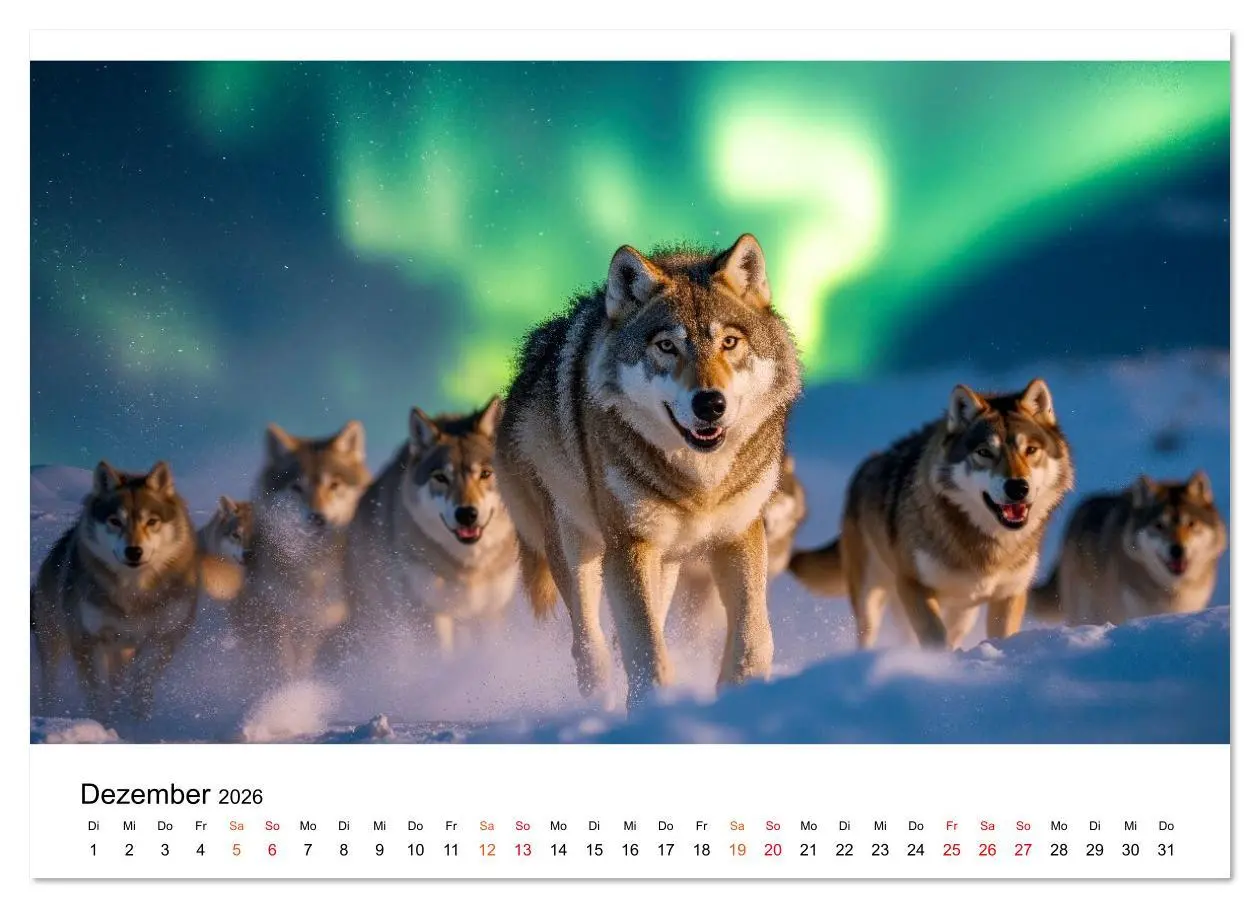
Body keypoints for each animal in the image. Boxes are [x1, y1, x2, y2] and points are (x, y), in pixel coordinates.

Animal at [30, 461, 238, 721]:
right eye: (115, 521)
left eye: (152, 521)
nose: (134, 551)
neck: (134, 592)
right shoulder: (87, 639)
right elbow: (98, 695)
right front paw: (105, 723)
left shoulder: (164, 637)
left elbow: (142, 683)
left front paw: (136, 722)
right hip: (54, 642)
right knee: (50, 684)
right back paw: (48, 713)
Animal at [232, 421, 371, 682]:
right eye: (297, 487)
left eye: (334, 485)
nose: (317, 518)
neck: (311, 569)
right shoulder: (276, 613)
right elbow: (283, 660)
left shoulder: (321, 620)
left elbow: (304, 661)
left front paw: (301, 687)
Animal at [339, 398, 518, 657]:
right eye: (441, 477)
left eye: (485, 474)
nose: (466, 514)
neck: (467, 567)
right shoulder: (429, 613)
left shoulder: (490, 613)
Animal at [496, 233, 802, 707]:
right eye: (667, 346)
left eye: (729, 342)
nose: (710, 403)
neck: (700, 481)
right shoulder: (629, 545)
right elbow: (646, 648)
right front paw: (653, 708)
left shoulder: (741, 534)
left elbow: (755, 636)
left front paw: (740, 695)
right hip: (578, 548)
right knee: (591, 642)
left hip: (666, 562)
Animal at [789, 379, 1073, 649]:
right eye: (984, 452)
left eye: (1031, 450)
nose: (1017, 487)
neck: (987, 546)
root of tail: (866, 465)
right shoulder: (913, 585)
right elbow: (935, 638)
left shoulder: (1010, 594)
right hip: (871, 597)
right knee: (870, 634)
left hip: (962, 613)